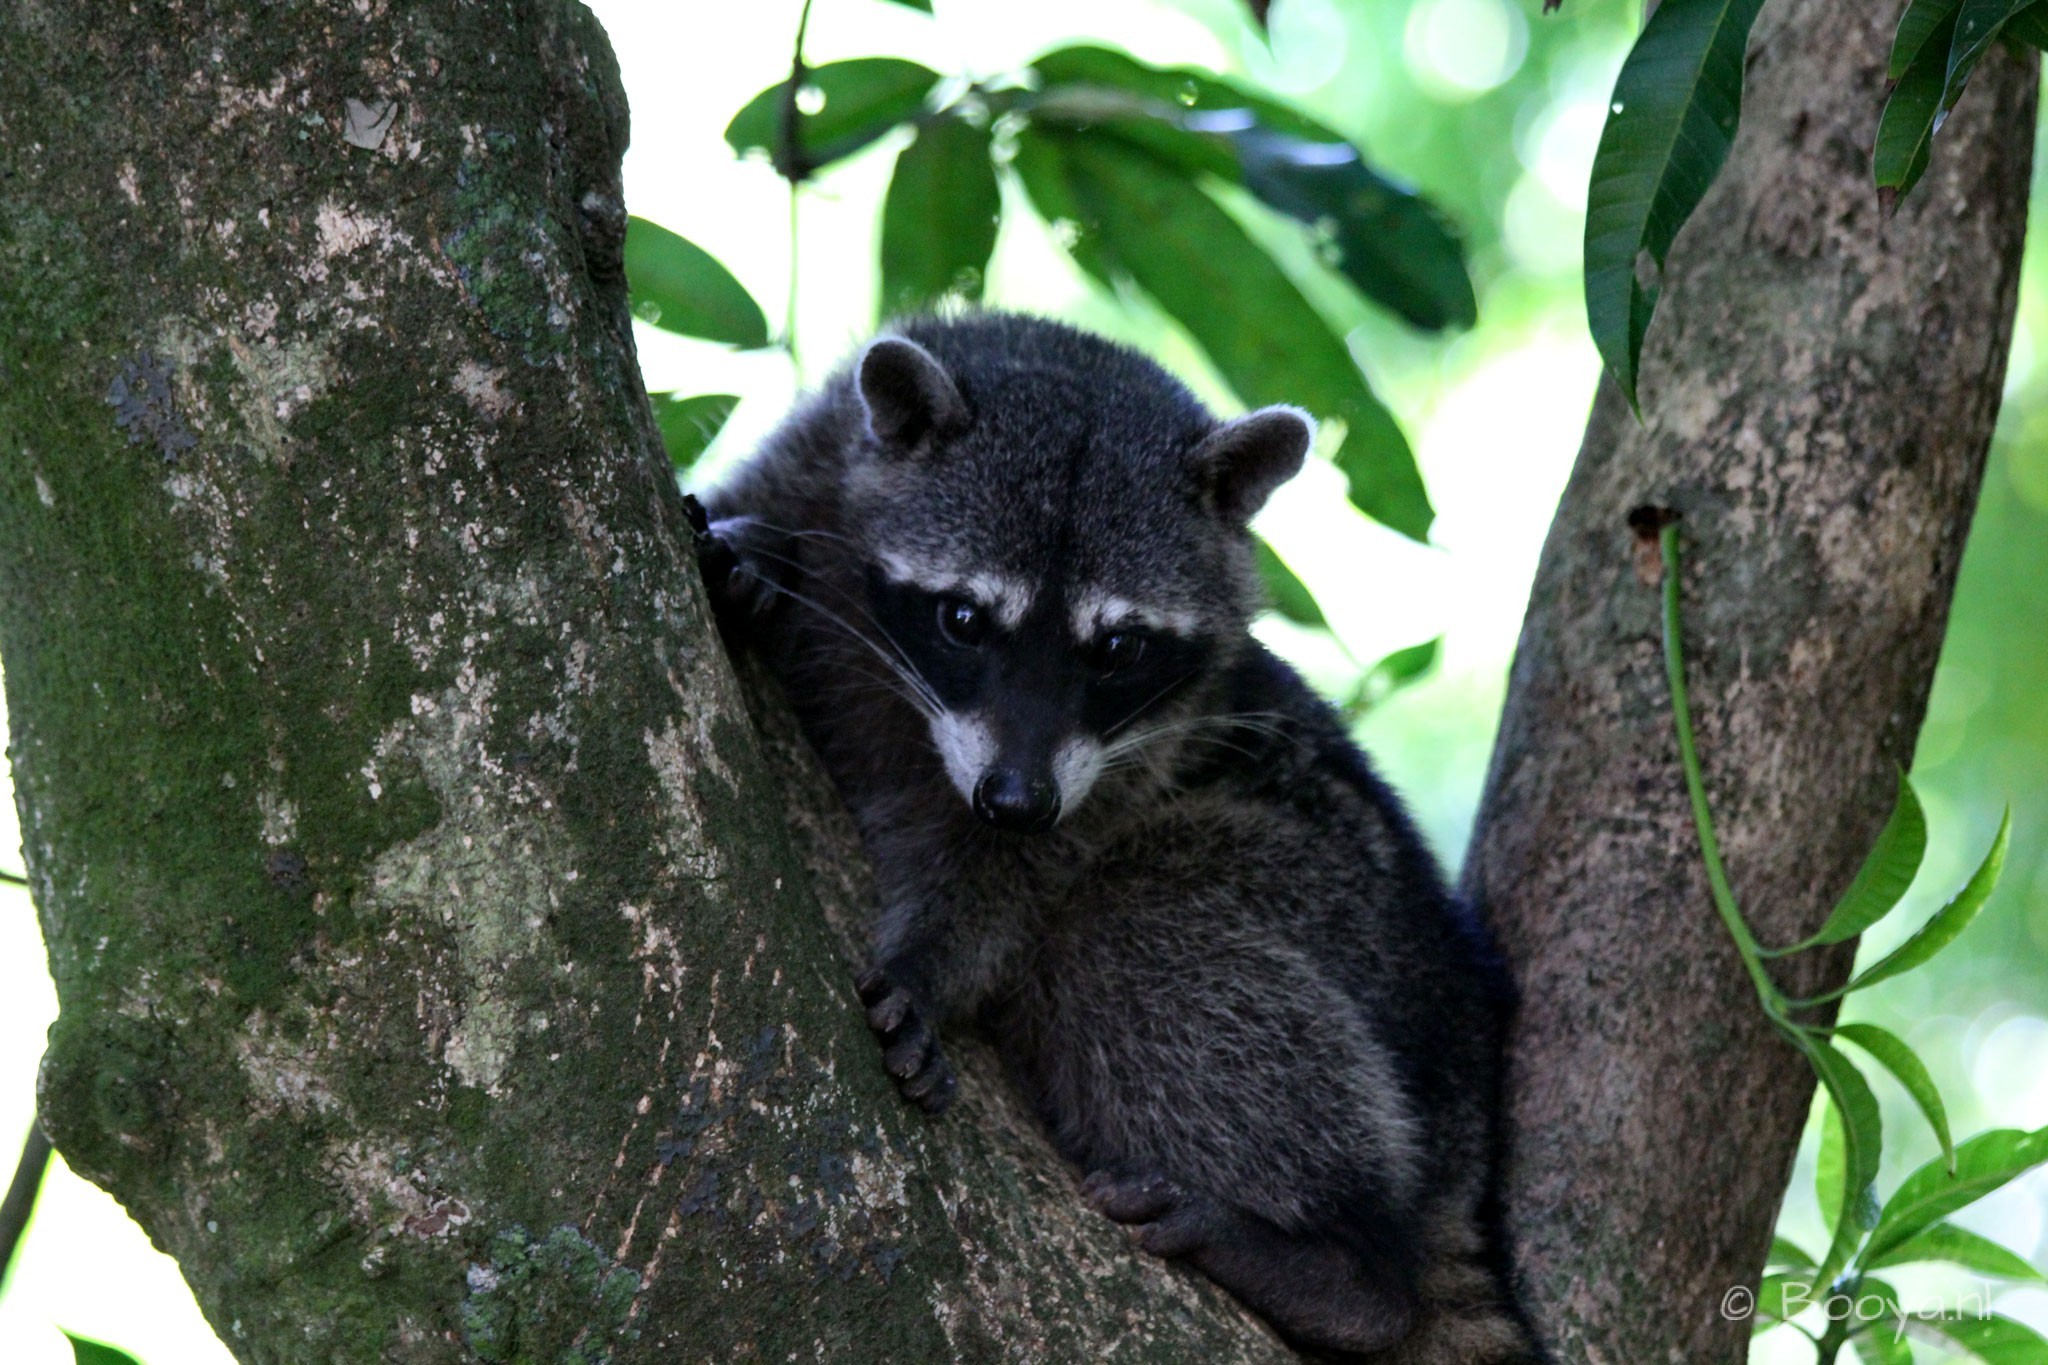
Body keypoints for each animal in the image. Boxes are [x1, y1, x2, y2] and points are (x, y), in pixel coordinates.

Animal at [693, 314, 1538, 1362]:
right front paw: (755, 558)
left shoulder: (1146, 747)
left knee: (1125, 924)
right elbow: (751, 516)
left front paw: (930, 959)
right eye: (964, 617)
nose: (1016, 798)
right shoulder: (806, 463)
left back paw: (1353, 1273)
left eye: (1119, 649)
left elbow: (1012, 882)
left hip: (1351, 915)